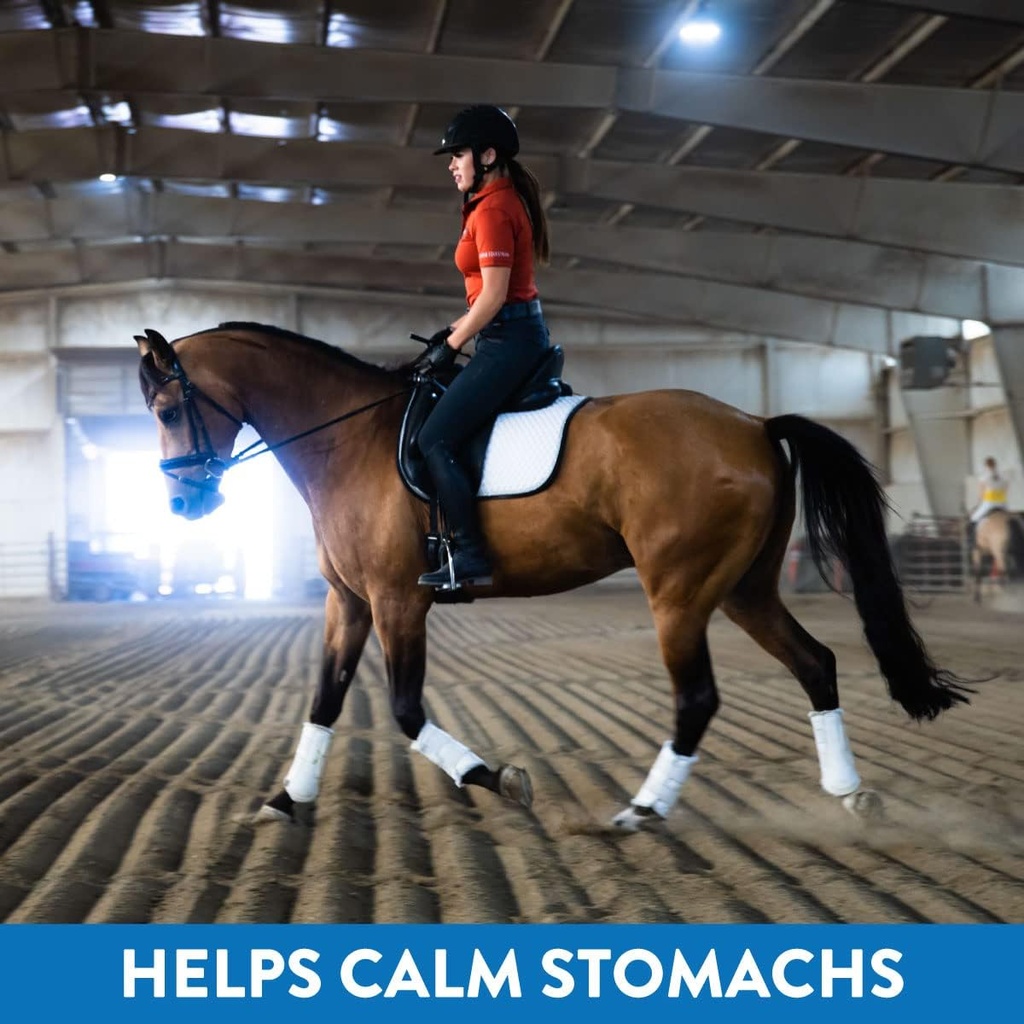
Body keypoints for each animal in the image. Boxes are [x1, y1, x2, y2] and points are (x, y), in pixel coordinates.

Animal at [134, 321, 971, 833]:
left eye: (171, 409)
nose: (182, 503)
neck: (350, 438)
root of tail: (756, 425)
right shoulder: (350, 601)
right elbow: (325, 700)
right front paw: (283, 801)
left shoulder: (400, 601)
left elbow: (403, 711)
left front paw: (500, 779)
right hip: (744, 590)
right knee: (815, 663)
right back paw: (849, 793)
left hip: (680, 594)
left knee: (698, 697)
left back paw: (640, 814)